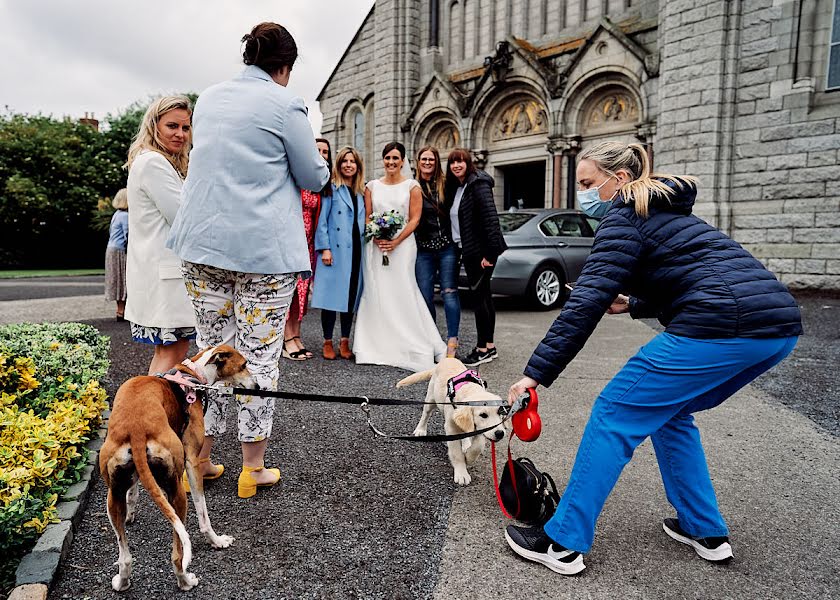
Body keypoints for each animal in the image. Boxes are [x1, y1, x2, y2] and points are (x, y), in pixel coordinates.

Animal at [98, 344, 256, 592]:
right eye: (244, 365)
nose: (257, 387)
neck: (193, 374)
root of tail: (136, 428)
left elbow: (133, 492)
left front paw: (131, 512)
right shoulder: (192, 462)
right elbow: (203, 514)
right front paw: (217, 541)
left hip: (112, 496)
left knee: (125, 557)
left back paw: (122, 582)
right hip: (177, 492)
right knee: (177, 554)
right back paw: (185, 581)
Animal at [398, 358, 508, 486]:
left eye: (500, 412)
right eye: (483, 415)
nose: (500, 433)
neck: (470, 390)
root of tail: (447, 358)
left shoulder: (479, 429)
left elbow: (478, 446)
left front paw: (469, 457)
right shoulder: (451, 428)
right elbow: (456, 453)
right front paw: (462, 473)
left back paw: (466, 444)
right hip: (431, 398)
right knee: (425, 414)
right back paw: (420, 430)